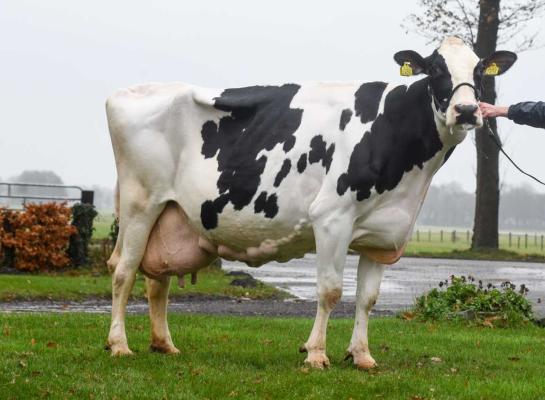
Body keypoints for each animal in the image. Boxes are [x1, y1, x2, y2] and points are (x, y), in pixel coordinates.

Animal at [105, 36, 516, 368]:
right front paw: (316, 353)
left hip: (169, 213)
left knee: (157, 279)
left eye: (479, 69)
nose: (467, 111)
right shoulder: (333, 218)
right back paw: (119, 344)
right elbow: (330, 290)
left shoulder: (382, 233)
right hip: (141, 204)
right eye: (435, 69)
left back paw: (164, 345)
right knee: (124, 270)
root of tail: (126, 92)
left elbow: (368, 298)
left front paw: (362, 356)